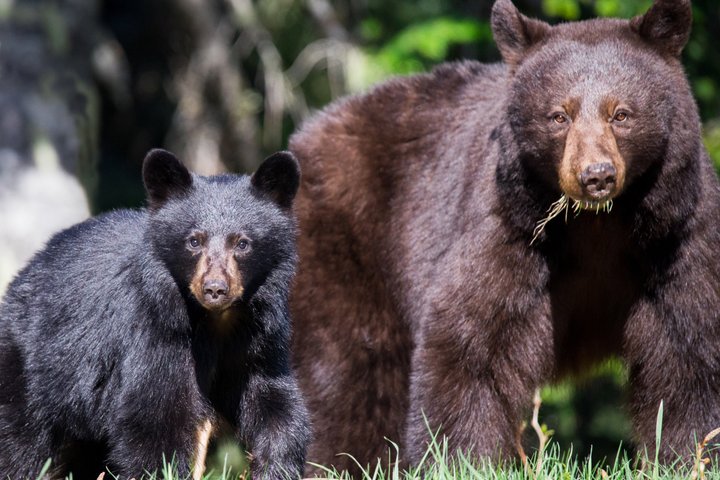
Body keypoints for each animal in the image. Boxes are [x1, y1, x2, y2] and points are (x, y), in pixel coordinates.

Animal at [0, 149, 310, 479]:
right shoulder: (155, 331)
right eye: (194, 240)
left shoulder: (259, 340)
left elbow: (274, 402)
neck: (217, 321)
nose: (215, 289)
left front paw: (276, 466)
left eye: (242, 243)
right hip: (31, 366)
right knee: (18, 440)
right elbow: (155, 418)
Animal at [289, 0, 720, 474]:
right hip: (346, 248)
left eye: (621, 114)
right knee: (349, 375)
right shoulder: (510, 230)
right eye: (559, 115)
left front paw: (690, 457)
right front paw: (459, 460)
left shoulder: (677, 239)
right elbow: (471, 341)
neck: (597, 226)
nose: (596, 176)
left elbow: (690, 354)